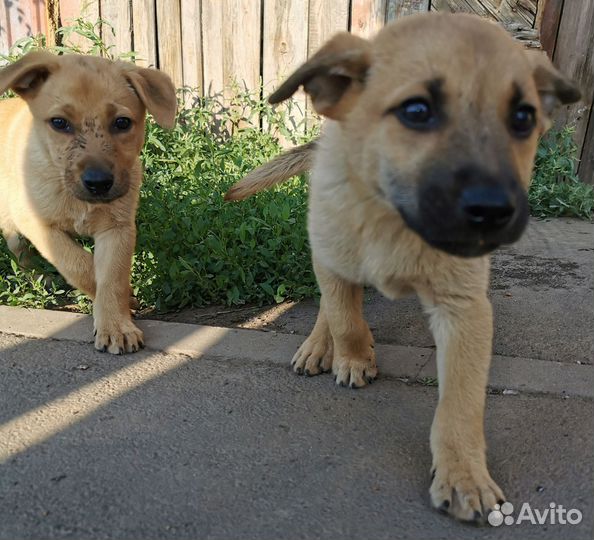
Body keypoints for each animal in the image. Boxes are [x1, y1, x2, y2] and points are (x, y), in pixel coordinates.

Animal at [0, 50, 176, 354]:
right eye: (59, 123)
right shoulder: (38, 225)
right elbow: (78, 265)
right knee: (20, 251)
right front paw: (125, 305)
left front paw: (116, 325)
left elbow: (111, 278)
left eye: (122, 122)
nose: (98, 183)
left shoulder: (117, 228)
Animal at [227, 13, 580, 524]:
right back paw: (318, 345)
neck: (394, 222)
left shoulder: (465, 309)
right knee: (332, 300)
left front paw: (463, 474)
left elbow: (460, 401)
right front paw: (354, 357)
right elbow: (345, 317)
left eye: (523, 117)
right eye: (416, 111)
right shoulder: (331, 254)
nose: (496, 211)